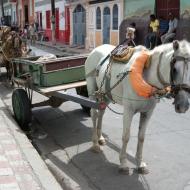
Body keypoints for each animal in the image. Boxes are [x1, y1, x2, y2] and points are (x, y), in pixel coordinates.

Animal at [84, 40, 190, 174]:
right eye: (175, 69)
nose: (183, 105)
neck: (147, 79)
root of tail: (96, 49)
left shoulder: (148, 112)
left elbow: (141, 137)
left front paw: (140, 163)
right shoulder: (128, 110)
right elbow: (126, 136)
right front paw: (123, 163)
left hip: (105, 94)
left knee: (101, 112)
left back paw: (100, 138)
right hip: (92, 89)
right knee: (94, 114)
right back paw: (95, 144)